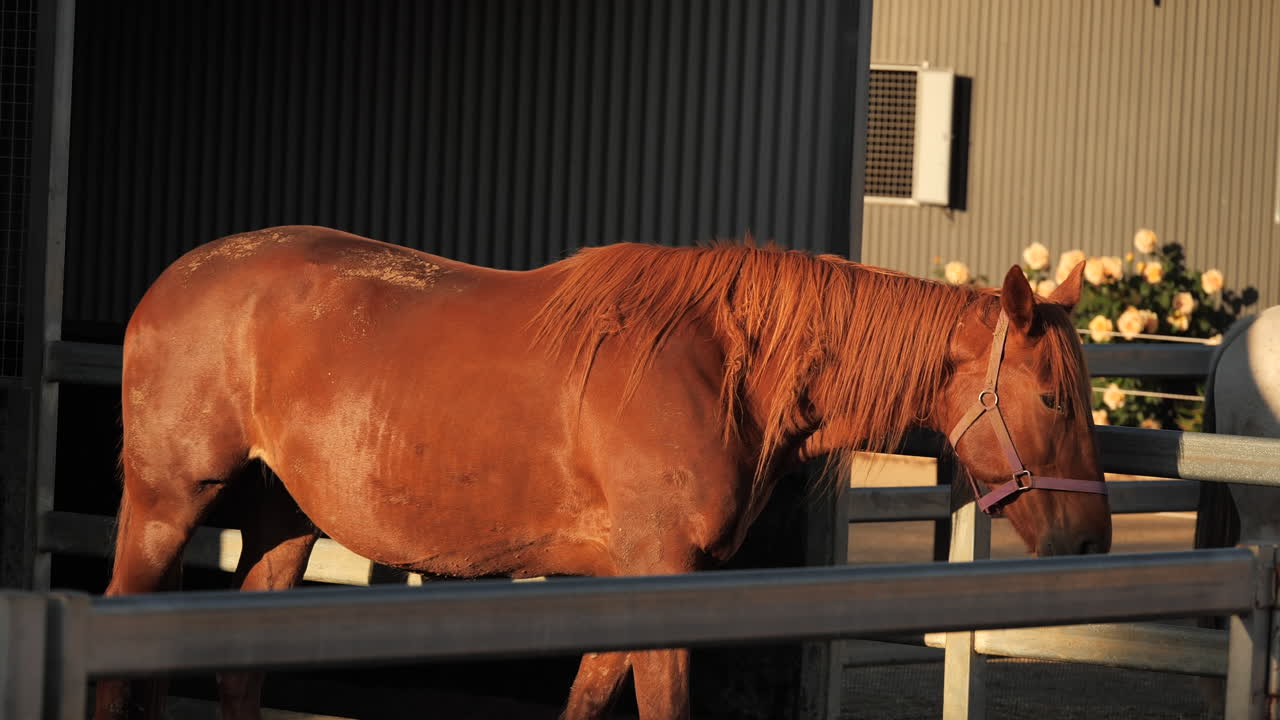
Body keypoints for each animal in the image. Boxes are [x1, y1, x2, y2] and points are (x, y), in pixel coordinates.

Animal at [95, 225, 1111, 720]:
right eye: (1054, 400)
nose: (1091, 542)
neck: (720, 361)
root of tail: (169, 284)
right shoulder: (662, 571)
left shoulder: (639, 578)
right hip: (163, 508)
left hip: (282, 524)